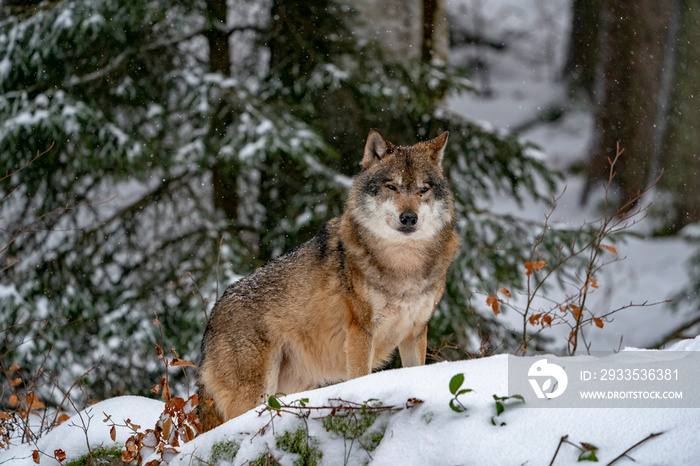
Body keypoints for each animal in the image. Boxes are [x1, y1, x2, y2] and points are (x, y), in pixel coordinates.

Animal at [197, 129, 460, 432]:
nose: (409, 217)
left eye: (422, 189)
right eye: (391, 187)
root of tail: (211, 319)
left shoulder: (415, 332)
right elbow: (360, 377)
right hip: (255, 393)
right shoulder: (360, 332)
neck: (403, 265)